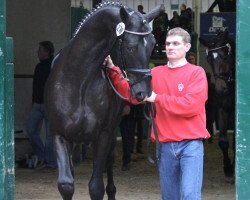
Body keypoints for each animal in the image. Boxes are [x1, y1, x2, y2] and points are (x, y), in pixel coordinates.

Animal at [44, 1, 163, 200]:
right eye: (130, 46)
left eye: (153, 45)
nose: (143, 92)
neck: (79, 80)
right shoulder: (59, 135)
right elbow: (66, 184)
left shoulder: (103, 136)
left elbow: (96, 187)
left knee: (109, 165)